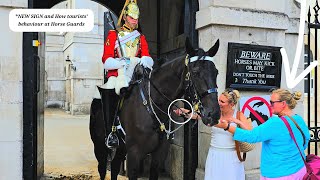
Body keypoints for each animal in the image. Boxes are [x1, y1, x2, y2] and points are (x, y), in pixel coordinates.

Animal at [89, 38, 221, 179]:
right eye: (195, 72)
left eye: (216, 72)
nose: (214, 114)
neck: (153, 105)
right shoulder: (134, 155)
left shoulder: (159, 154)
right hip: (100, 147)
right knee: (103, 169)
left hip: (121, 148)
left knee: (114, 167)